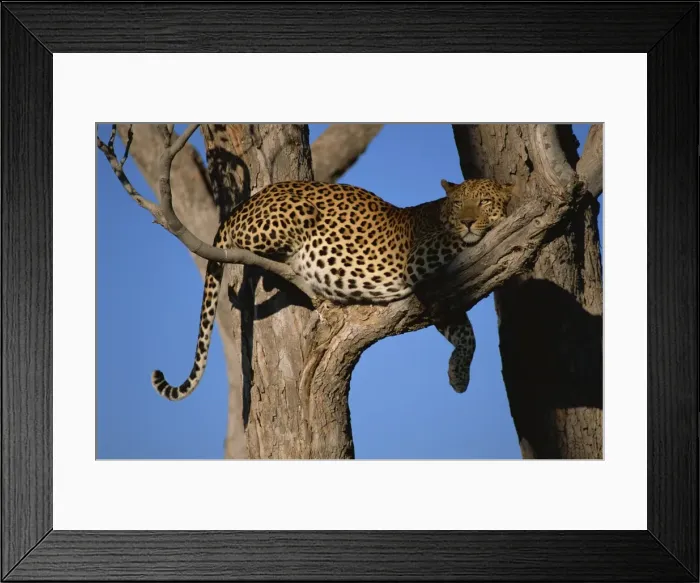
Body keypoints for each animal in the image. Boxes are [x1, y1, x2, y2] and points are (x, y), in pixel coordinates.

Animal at [151, 178, 512, 401]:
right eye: (459, 205)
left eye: (484, 201)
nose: (468, 221)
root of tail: (244, 203)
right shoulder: (419, 257)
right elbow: (458, 243)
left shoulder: (442, 295)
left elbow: (467, 335)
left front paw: (459, 376)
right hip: (294, 213)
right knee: (238, 242)